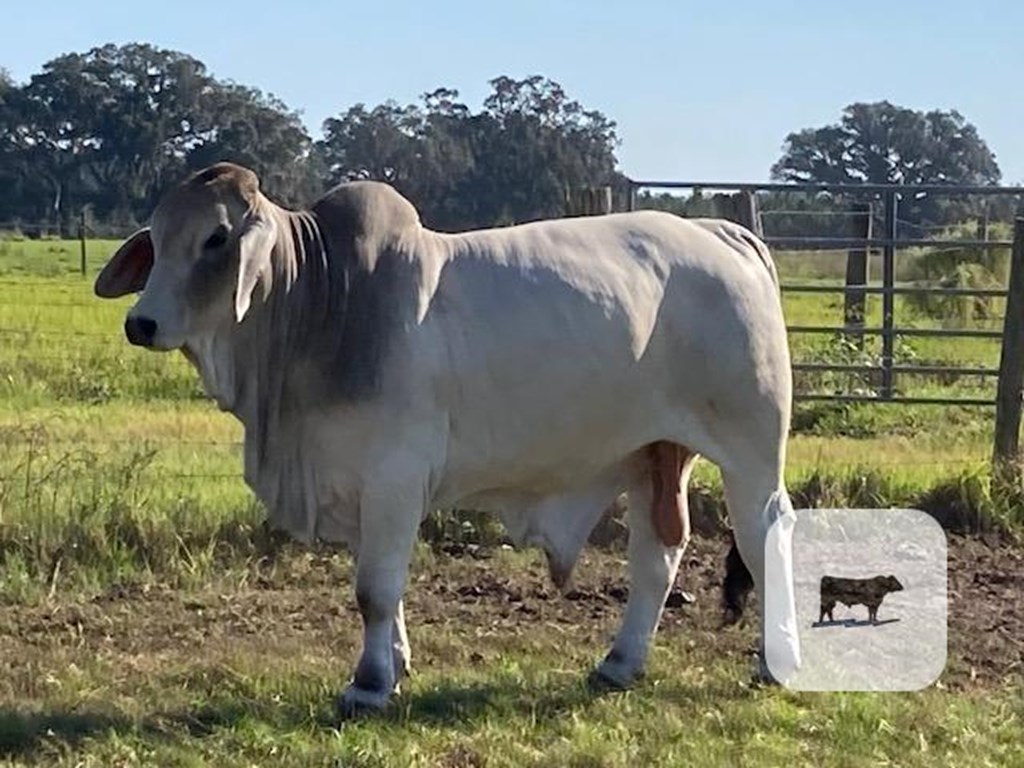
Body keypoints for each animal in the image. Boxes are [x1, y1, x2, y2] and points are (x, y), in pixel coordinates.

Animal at [96, 162, 798, 716]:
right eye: (158, 238)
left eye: (216, 238)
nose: (140, 323)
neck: (322, 301)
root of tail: (724, 234)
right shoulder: (357, 485)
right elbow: (382, 587)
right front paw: (396, 667)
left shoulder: (394, 476)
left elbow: (374, 590)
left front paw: (368, 685)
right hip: (654, 454)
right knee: (659, 552)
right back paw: (619, 663)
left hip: (750, 451)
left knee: (764, 536)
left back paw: (776, 663)